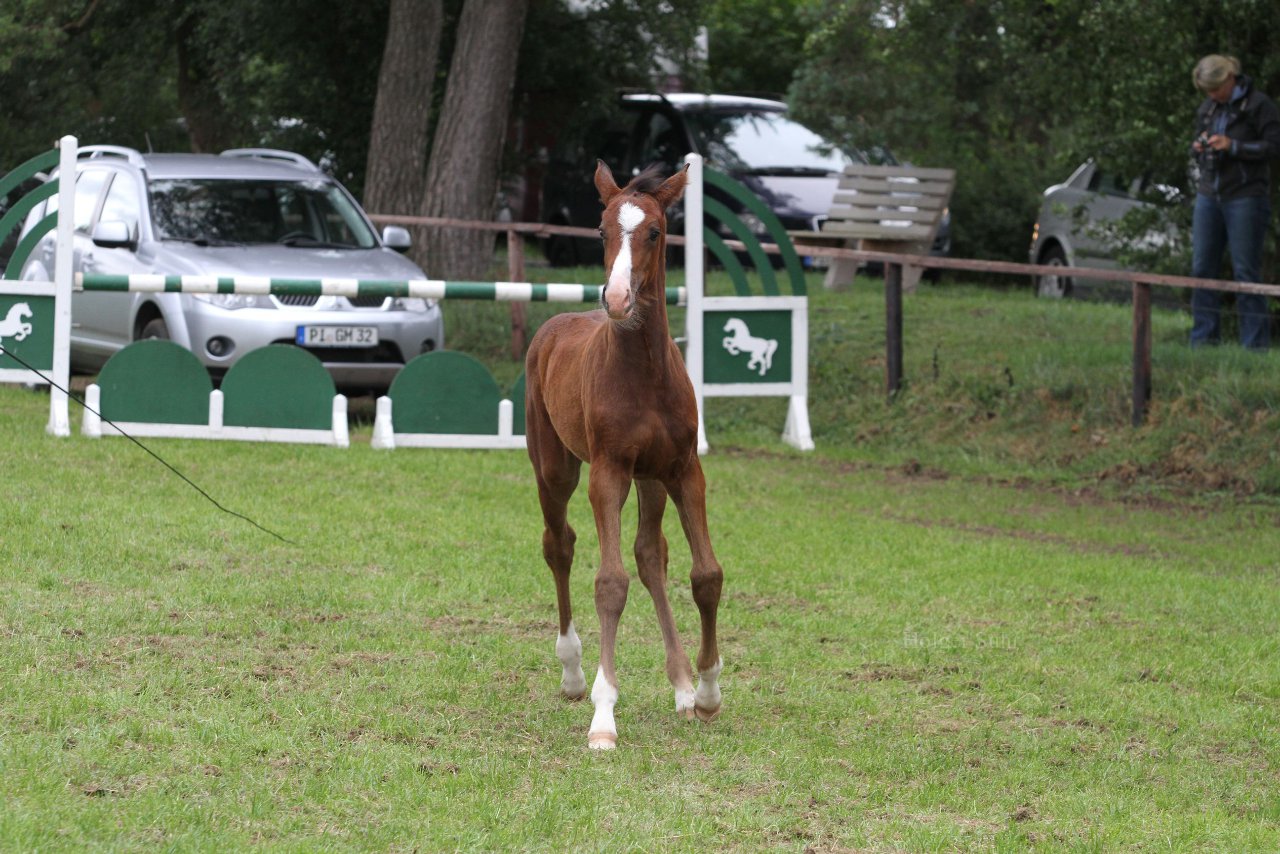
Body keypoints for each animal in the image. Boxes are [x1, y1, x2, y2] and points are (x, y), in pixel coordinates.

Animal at [519, 163, 721, 752]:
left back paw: (681, 686)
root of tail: (554, 324)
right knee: (559, 545)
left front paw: (706, 692)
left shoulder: (684, 470)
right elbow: (609, 584)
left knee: (651, 555)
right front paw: (603, 715)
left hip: (650, 479)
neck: (646, 372)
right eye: (601, 230)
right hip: (555, 469)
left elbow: (705, 574)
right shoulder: (608, 473)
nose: (616, 297)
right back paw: (571, 671)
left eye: (655, 231)